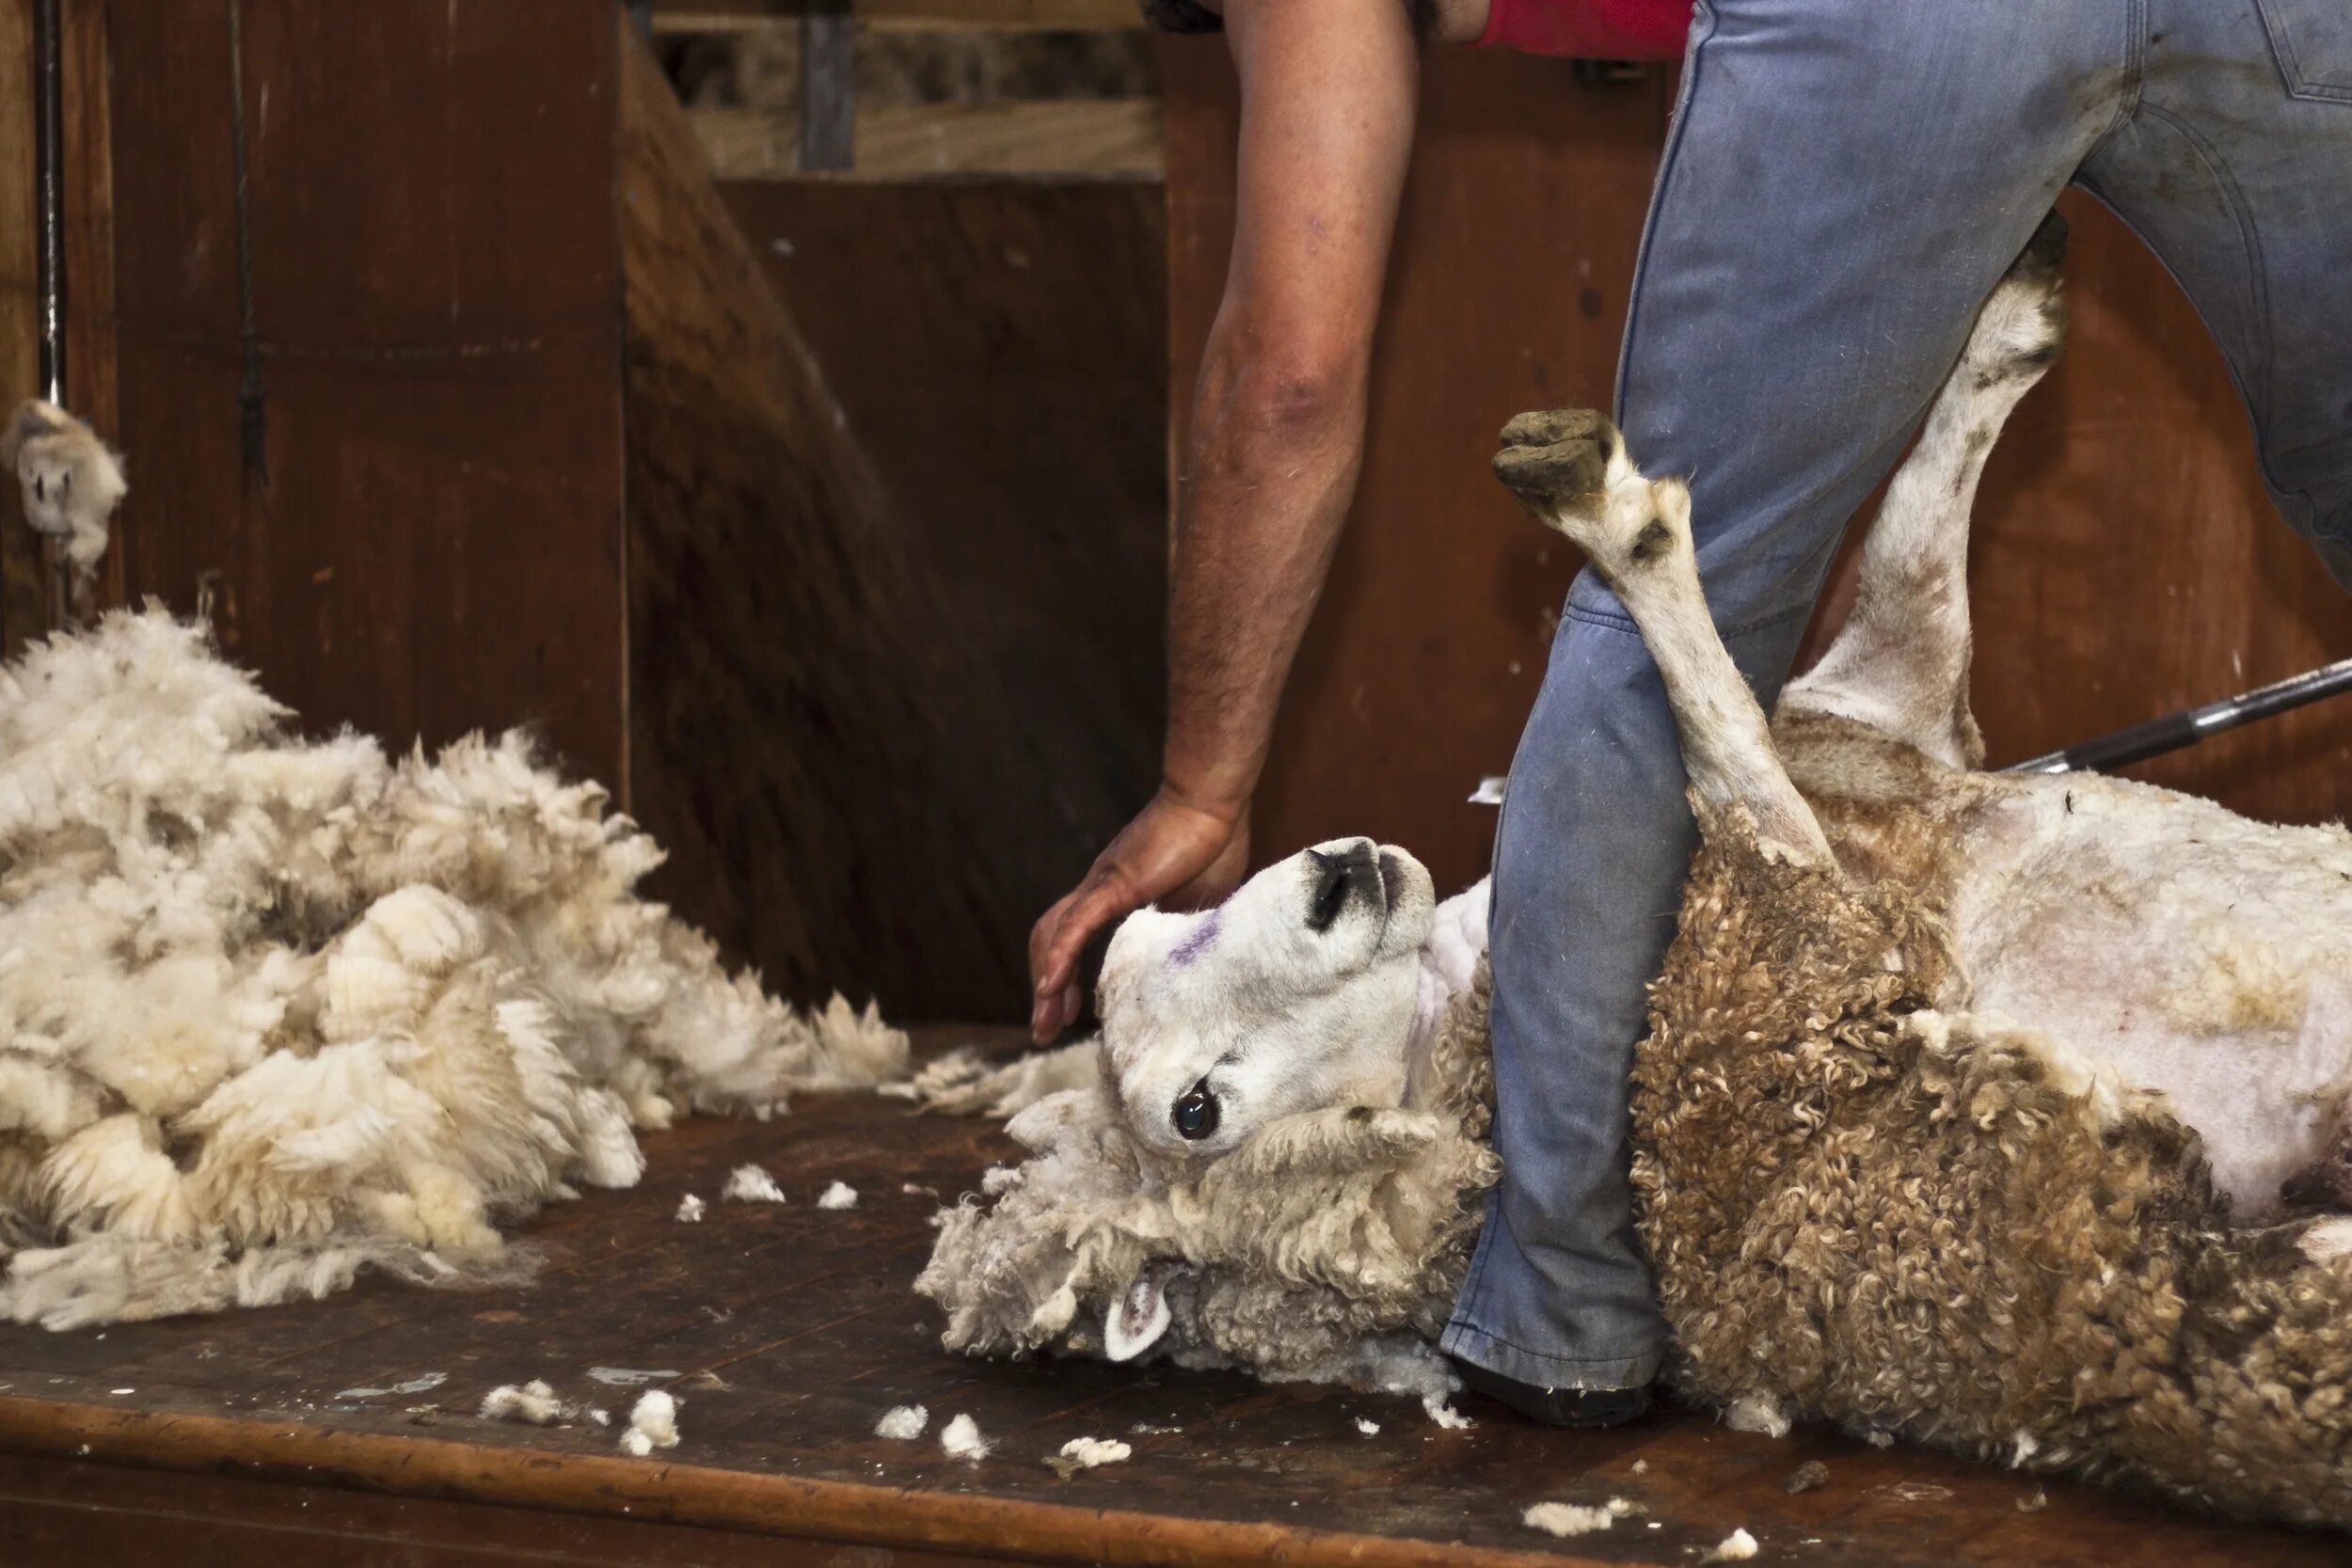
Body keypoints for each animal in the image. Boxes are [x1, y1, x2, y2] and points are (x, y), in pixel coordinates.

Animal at [913, 217, 2352, 1532]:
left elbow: (1914, 540)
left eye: (1137, 936)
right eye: (1195, 1113)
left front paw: (2016, 304)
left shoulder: (1889, 704)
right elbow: (1718, 715)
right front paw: (1614, 510)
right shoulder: (1815, 933)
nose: (1334, 882)